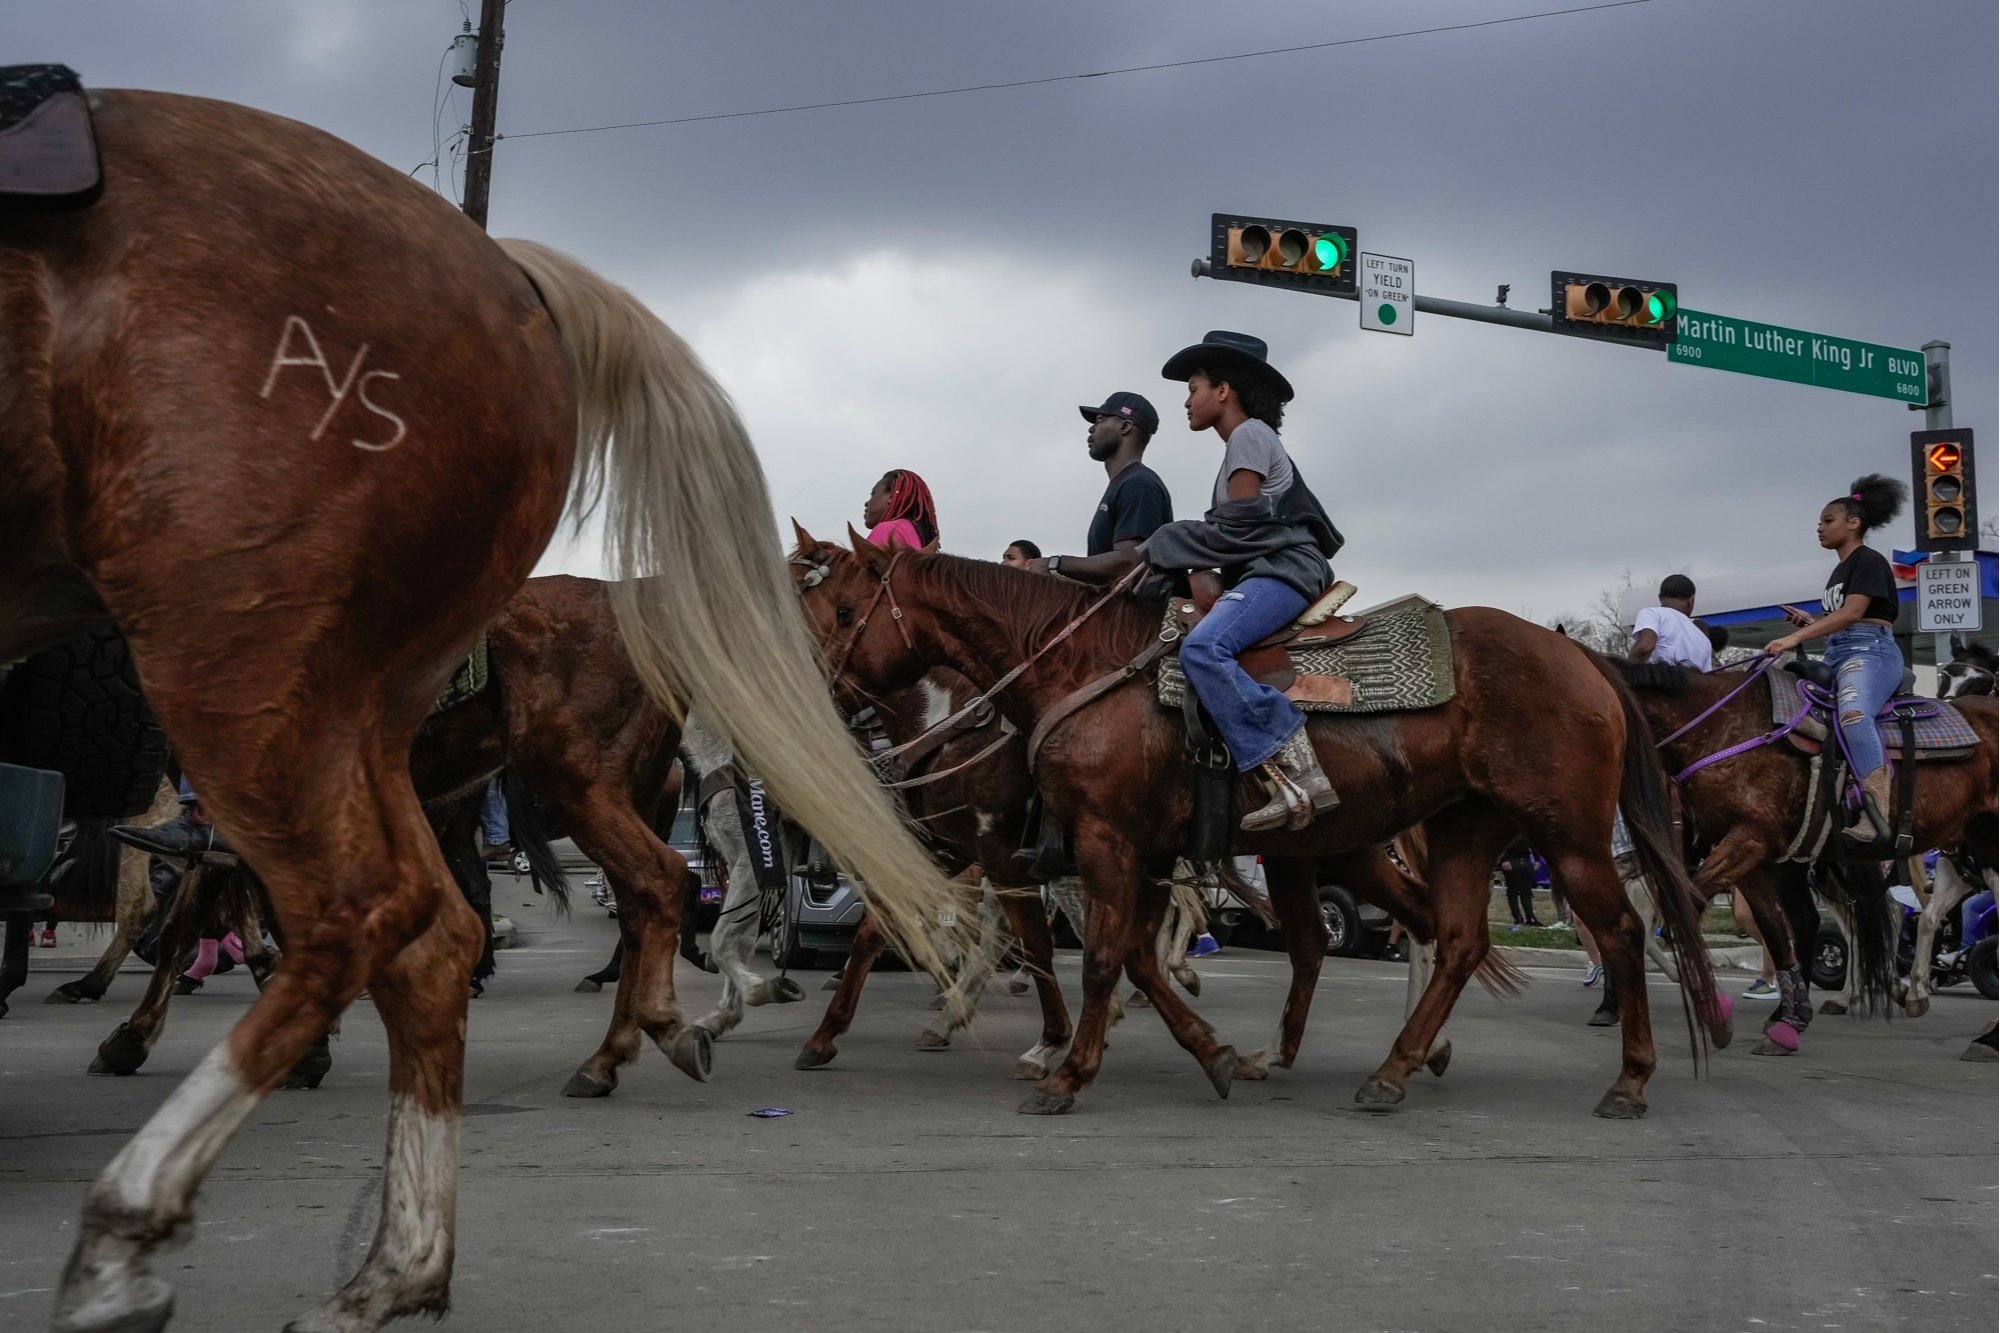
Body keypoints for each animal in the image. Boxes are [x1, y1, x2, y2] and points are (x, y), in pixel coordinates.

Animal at [788, 536, 1728, 1112]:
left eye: (844, 611)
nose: (813, 691)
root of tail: (1582, 655)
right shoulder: (1110, 850)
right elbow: (1104, 952)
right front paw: (1206, 1051)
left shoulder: (1084, 844)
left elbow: (1089, 956)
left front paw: (1062, 1067)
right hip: (1448, 833)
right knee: (1443, 936)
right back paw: (1392, 1064)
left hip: (1564, 838)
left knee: (1615, 932)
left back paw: (1629, 1080)